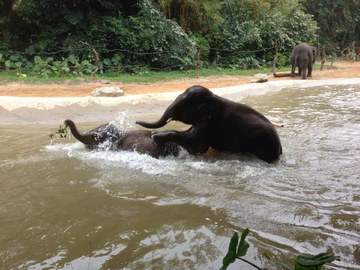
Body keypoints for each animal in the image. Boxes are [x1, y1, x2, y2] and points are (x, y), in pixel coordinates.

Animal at [136, 85, 282, 163]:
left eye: (182, 106)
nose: (136, 121)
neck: (213, 96)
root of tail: (280, 150)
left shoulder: (212, 123)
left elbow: (198, 147)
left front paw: (155, 136)